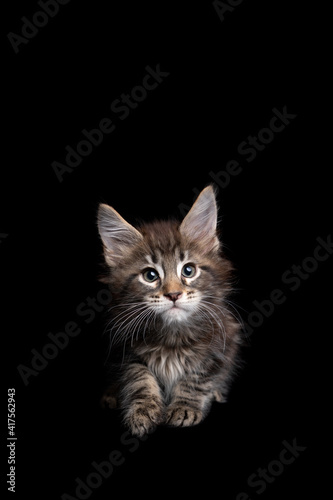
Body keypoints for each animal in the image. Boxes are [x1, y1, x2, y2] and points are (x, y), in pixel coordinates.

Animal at [97, 186, 240, 436]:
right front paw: (142, 411)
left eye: (189, 270)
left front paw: (184, 407)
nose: (173, 294)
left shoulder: (221, 344)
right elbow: (139, 379)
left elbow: (197, 378)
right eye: (150, 275)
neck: (172, 336)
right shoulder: (125, 348)